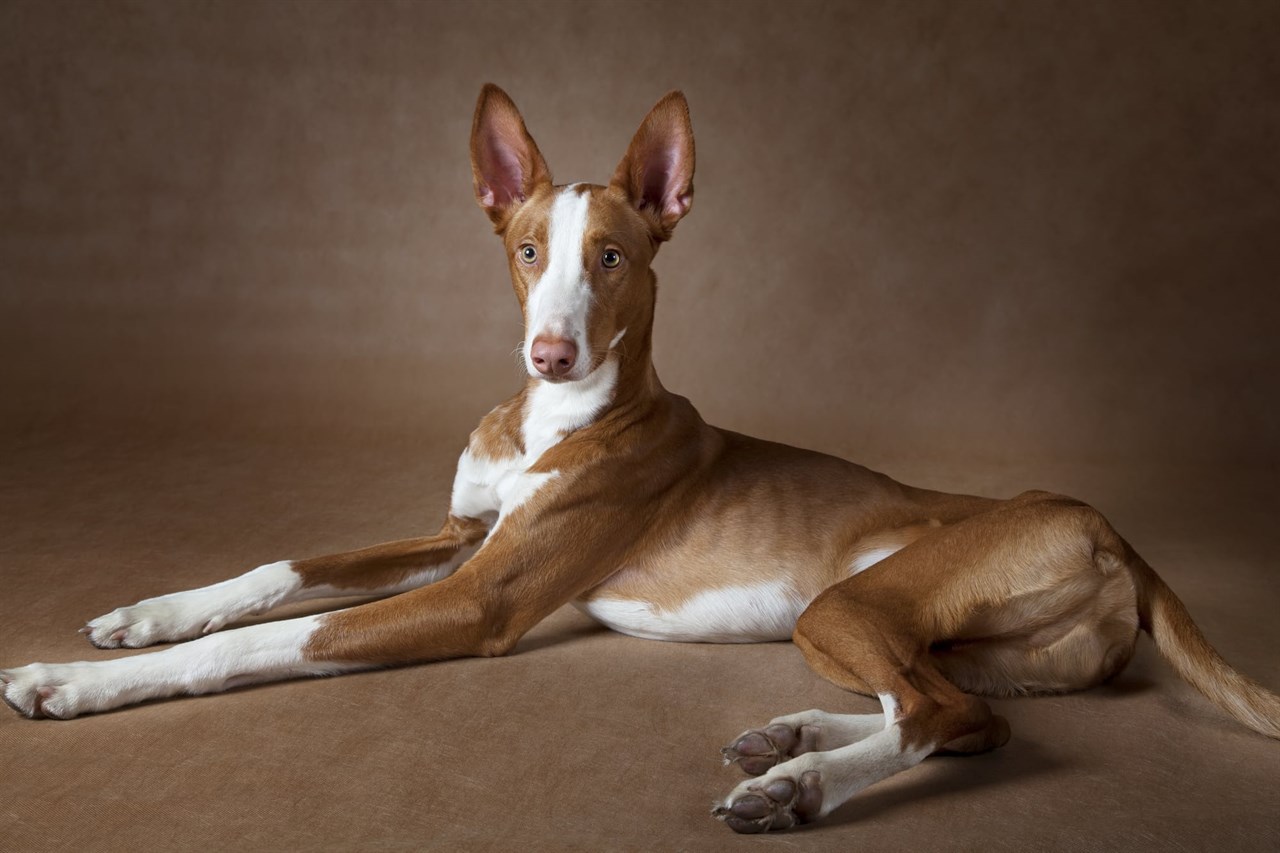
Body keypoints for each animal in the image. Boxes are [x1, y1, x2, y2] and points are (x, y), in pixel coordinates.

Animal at [2, 83, 1280, 824]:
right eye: (527, 249)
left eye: (611, 257)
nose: (551, 349)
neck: (553, 420)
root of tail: (1104, 521)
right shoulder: (463, 538)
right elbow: (276, 570)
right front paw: (141, 614)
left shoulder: (480, 598)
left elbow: (260, 642)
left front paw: (71, 681)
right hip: (934, 637)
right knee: (965, 712)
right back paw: (788, 737)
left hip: (860, 602)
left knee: (934, 714)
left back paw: (797, 783)